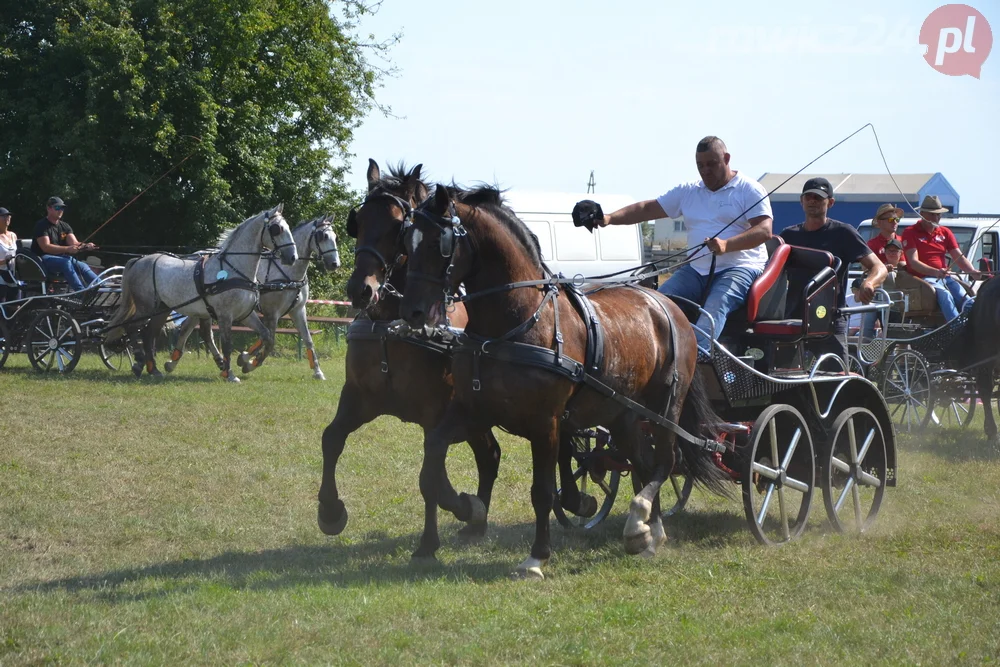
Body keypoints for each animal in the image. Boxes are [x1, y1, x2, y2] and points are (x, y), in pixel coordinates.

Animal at [109, 202, 298, 380]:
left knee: (149, 334)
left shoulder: (245, 314)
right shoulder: (224, 315)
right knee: (131, 327)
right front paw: (229, 374)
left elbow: (268, 337)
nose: (292, 257)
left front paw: (248, 364)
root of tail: (139, 260)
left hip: (162, 309)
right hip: (146, 307)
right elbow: (227, 344)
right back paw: (139, 362)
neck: (234, 268)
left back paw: (153, 369)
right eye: (277, 229)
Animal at [161, 215, 340, 378]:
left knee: (193, 330)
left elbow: (307, 339)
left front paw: (317, 371)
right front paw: (248, 361)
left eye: (335, 237)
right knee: (193, 330)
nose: (335, 264)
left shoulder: (297, 310)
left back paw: (178, 362)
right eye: (323, 236)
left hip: (201, 308)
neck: (288, 273)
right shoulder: (271, 312)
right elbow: (269, 339)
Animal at [318, 160, 504, 536]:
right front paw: (330, 511)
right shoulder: (358, 396)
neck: (392, 327)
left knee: (489, 455)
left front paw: (463, 506)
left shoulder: (436, 412)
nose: (360, 289)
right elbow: (331, 438)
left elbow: (433, 476)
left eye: (397, 226)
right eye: (358, 222)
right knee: (489, 454)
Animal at [402, 187, 732, 580]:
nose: (412, 312)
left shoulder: (545, 424)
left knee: (666, 461)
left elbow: (543, 491)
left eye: (439, 242)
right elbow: (430, 467)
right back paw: (648, 533)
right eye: (408, 240)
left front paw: (536, 558)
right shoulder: (473, 410)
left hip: (666, 406)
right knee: (643, 462)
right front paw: (443, 531)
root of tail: (668, 304)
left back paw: (640, 518)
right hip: (622, 415)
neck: (517, 322)